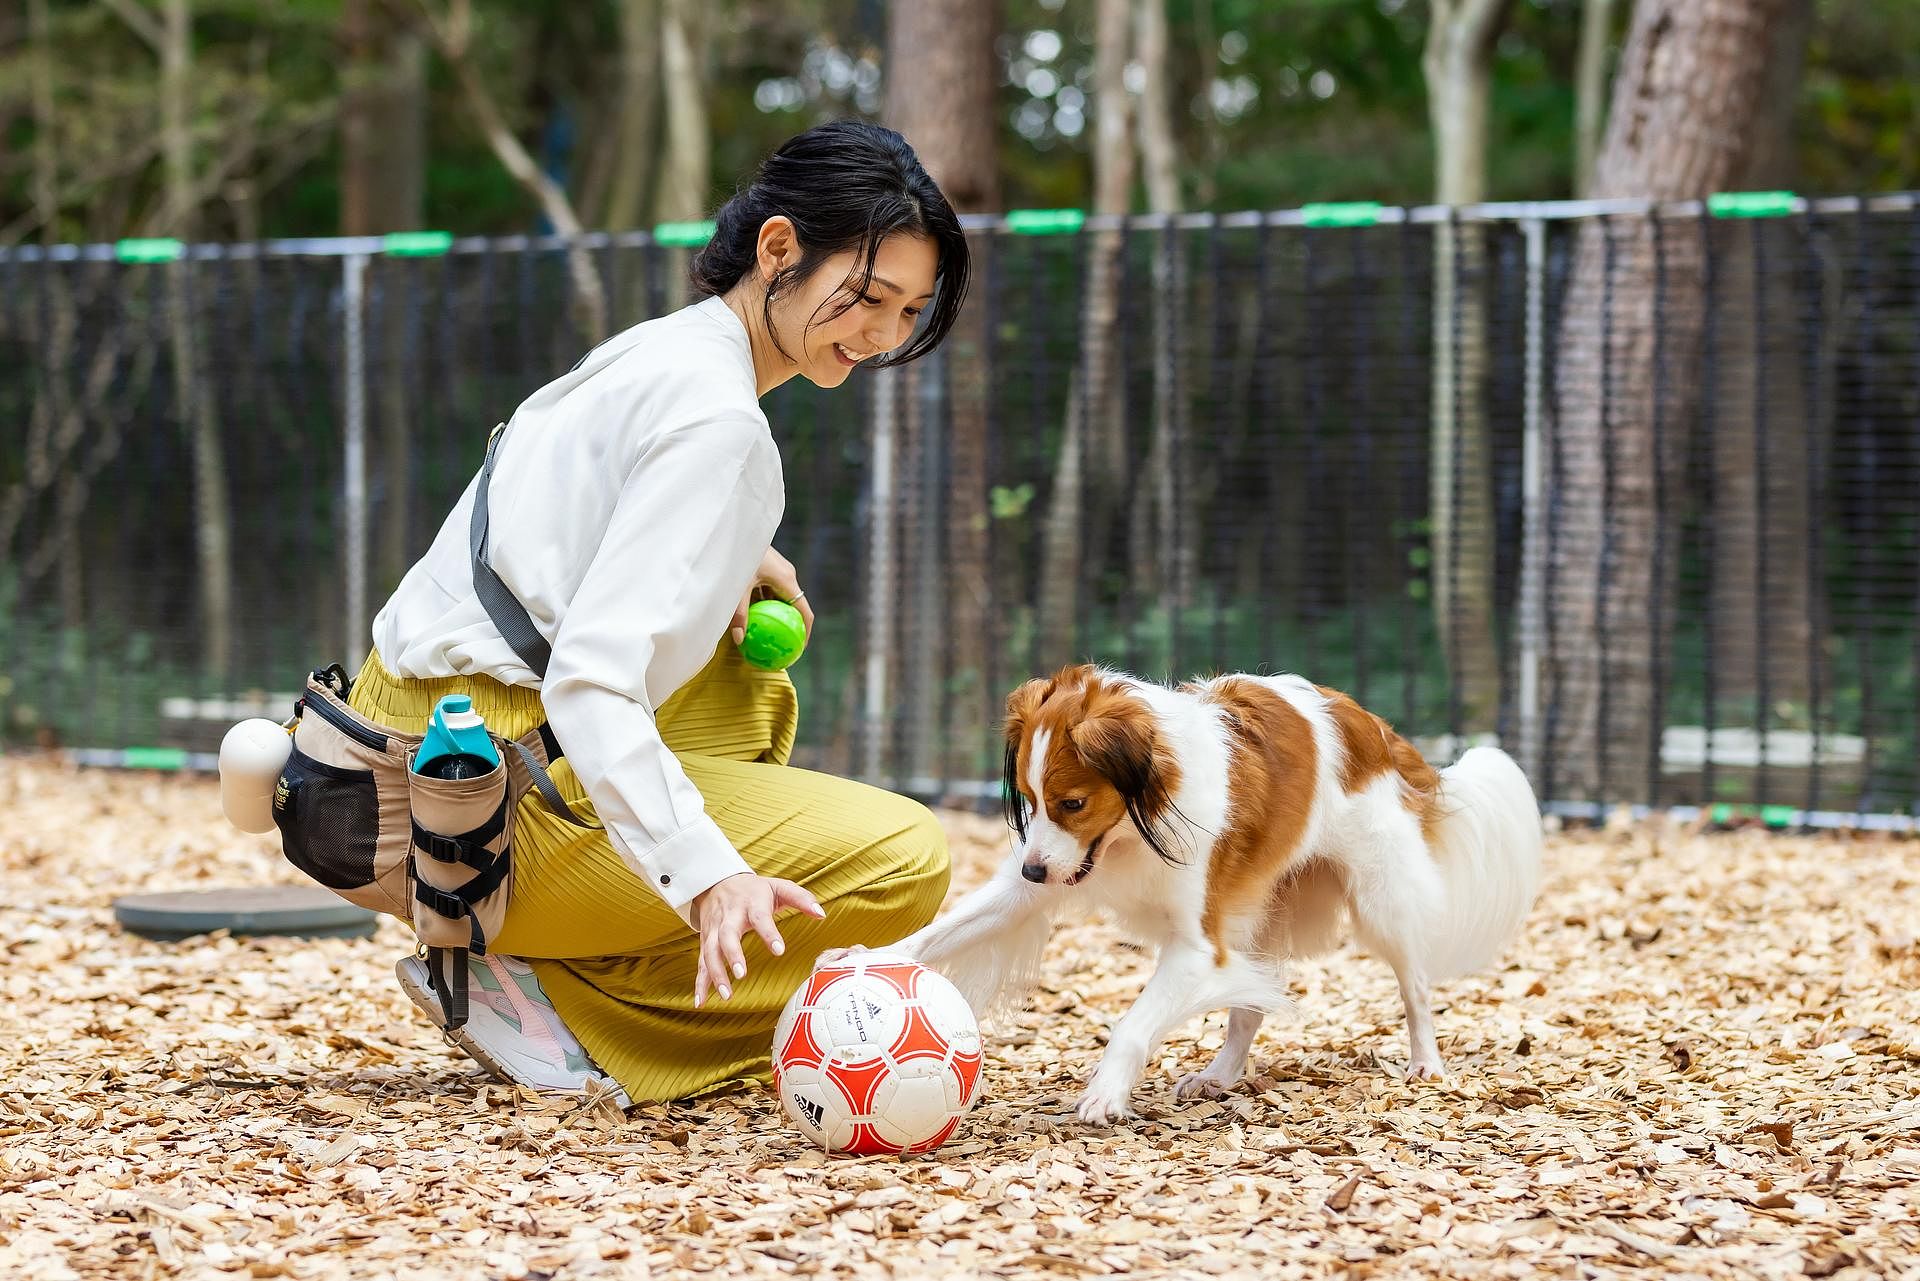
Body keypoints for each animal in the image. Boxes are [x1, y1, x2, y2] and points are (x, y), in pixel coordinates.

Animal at [871, 668, 1543, 1129]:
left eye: (1073, 803)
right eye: (1029, 802)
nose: (1035, 871)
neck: (1135, 824)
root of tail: (1374, 727)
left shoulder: (1197, 947)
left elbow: (1131, 1025)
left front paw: (1105, 1093)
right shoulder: (1031, 887)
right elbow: (939, 934)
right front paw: (863, 961)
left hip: (1382, 906)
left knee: (1416, 988)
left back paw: (1426, 1062)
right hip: (1258, 915)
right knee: (1251, 1007)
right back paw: (1220, 1076)